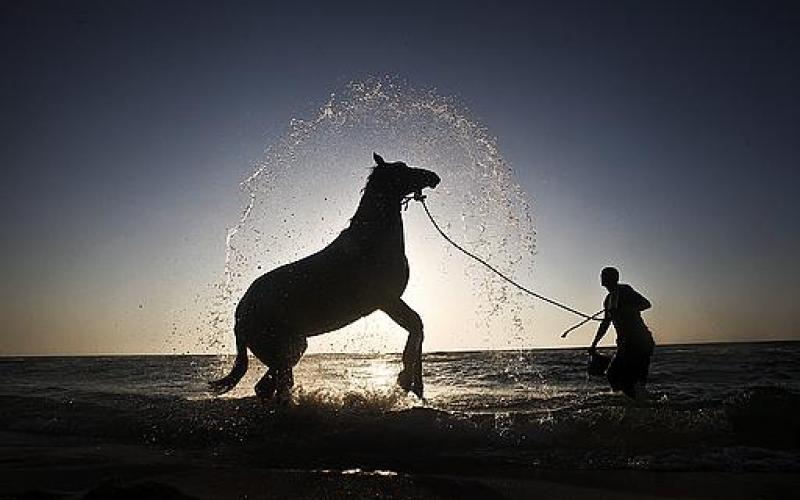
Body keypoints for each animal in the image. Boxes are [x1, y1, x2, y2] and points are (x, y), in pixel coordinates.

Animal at [209, 152, 440, 398]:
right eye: (402, 169)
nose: (433, 177)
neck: (372, 241)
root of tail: (240, 314)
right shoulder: (387, 301)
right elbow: (416, 326)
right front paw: (406, 378)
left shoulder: (390, 302)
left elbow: (418, 327)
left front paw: (415, 384)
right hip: (285, 349)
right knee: (276, 388)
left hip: (291, 349)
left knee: (267, 388)